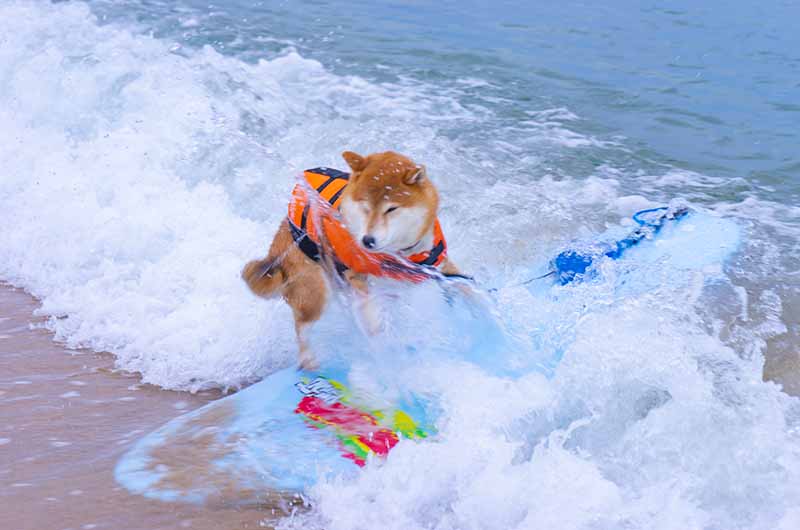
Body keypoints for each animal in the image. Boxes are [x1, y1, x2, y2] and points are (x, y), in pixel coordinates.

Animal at [241, 150, 460, 368]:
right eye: (365, 207)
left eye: (391, 209)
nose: (367, 241)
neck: (403, 253)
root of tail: (276, 250)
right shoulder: (356, 277)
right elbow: (372, 316)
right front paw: (382, 341)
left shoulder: (440, 265)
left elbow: (459, 282)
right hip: (316, 290)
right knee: (302, 326)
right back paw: (307, 359)